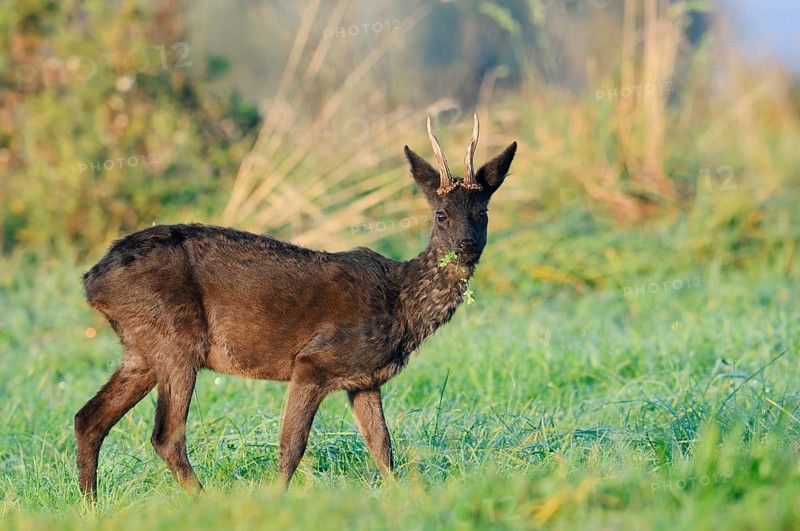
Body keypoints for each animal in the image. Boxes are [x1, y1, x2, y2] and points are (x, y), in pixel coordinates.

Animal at [74, 114, 516, 500]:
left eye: (483, 211)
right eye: (440, 214)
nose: (466, 245)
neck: (400, 305)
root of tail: (92, 280)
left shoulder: (364, 380)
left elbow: (383, 448)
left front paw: (404, 499)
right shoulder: (312, 362)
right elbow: (292, 445)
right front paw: (277, 498)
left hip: (141, 349)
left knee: (88, 418)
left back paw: (91, 506)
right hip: (175, 338)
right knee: (165, 434)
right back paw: (201, 500)